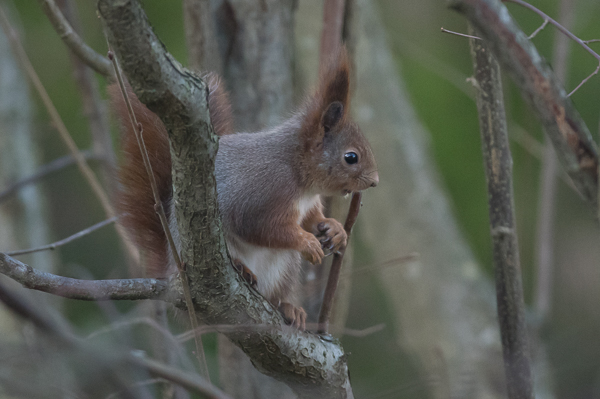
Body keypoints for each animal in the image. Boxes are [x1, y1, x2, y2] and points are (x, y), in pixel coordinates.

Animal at [110, 49, 378, 332]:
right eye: (351, 157)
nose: (375, 181)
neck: (298, 173)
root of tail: (174, 269)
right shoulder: (264, 192)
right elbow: (262, 227)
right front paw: (307, 242)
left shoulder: (308, 204)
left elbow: (312, 219)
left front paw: (335, 229)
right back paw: (241, 269)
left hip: (284, 268)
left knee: (273, 297)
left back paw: (288, 307)